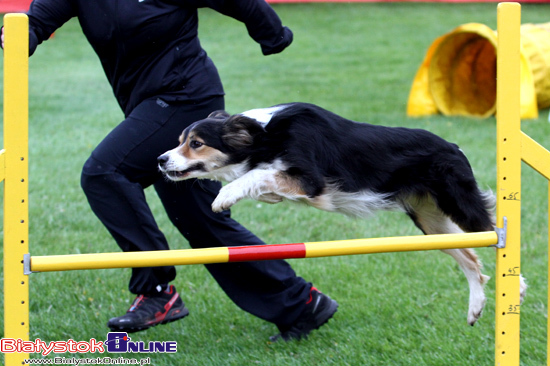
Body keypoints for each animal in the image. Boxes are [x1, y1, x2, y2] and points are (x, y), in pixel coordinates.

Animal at [158, 103, 528, 326]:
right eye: (179, 140)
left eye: (196, 143)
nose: (161, 160)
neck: (265, 136)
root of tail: (454, 146)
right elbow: (264, 183)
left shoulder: (311, 181)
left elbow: (258, 174)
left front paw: (224, 196)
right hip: (431, 223)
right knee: (472, 260)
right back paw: (476, 307)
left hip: (461, 207)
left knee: (494, 236)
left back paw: (519, 286)